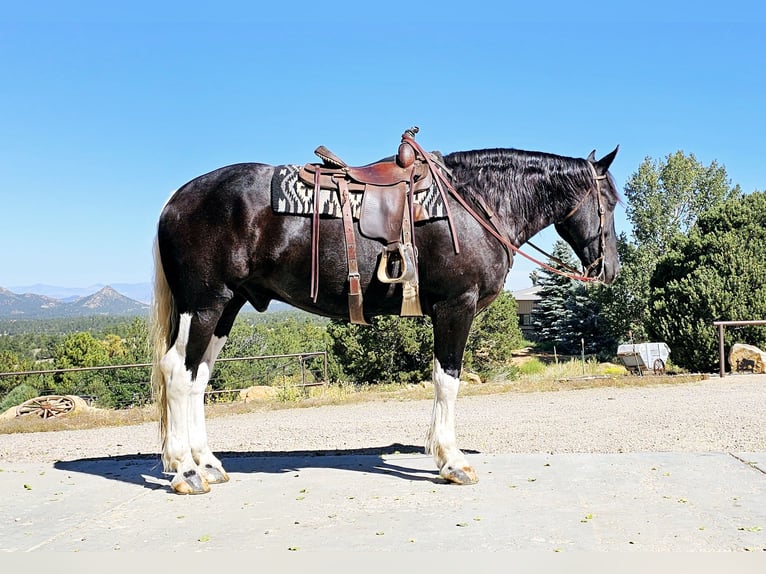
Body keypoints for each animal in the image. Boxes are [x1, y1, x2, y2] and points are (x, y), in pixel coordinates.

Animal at [150, 135, 624, 496]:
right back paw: (185, 471)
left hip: (227, 305)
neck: (474, 204)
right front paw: (452, 462)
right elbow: (447, 381)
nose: (610, 269)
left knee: (198, 376)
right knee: (177, 372)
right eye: (611, 200)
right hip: (204, 304)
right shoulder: (456, 306)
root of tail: (176, 200)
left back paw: (208, 463)